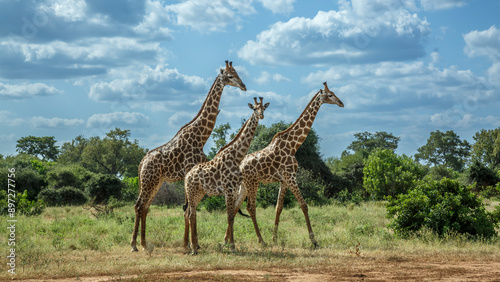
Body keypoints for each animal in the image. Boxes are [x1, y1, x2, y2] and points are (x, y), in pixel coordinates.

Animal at [130, 61, 245, 251]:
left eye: (237, 73)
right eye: (230, 76)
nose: (243, 86)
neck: (201, 136)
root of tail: (141, 163)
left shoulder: (190, 174)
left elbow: (187, 209)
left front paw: (191, 245)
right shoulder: (189, 171)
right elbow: (189, 209)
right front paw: (191, 245)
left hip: (155, 182)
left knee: (145, 207)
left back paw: (144, 243)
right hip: (149, 181)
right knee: (139, 205)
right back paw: (134, 244)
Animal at [184, 97, 270, 256]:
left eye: (264, 108)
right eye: (254, 109)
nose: (261, 116)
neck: (237, 156)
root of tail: (187, 177)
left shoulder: (234, 190)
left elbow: (231, 216)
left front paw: (229, 244)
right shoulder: (228, 190)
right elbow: (229, 216)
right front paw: (232, 246)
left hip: (199, 193)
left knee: (189, 214)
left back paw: (190, 246)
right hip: (192, 192)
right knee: (191, 214)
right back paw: (193, 248)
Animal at [231, 81, 344, 247]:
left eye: (334, 93)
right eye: (330, 95)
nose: (341, 103)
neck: (293, 145)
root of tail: (238, 166)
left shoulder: (284, 180)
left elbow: (278, 208)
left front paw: (275, 238)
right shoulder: (290, 176)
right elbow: (304, 204)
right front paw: (314, 240)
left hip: (244, 185)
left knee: (235, 206)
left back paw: (227, 239)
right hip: (253, 183)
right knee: (250, 207)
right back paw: (260, 240)